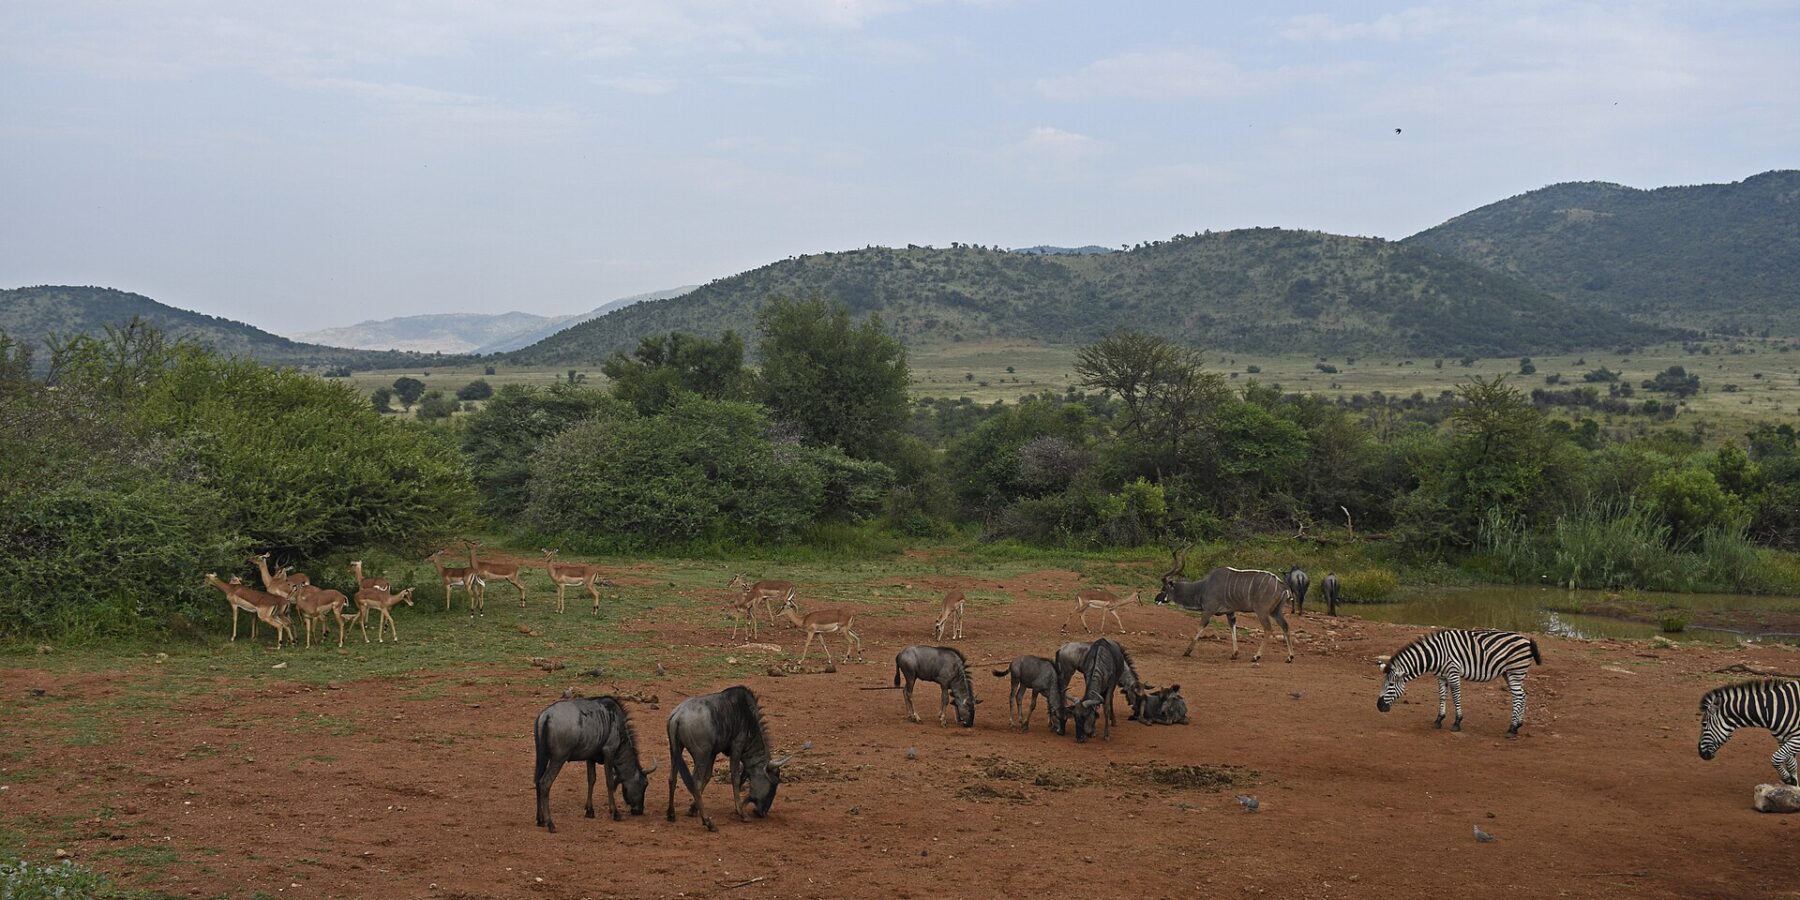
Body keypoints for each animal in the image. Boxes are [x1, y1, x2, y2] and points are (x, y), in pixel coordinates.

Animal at [1376, 629, 1542, 736]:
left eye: (1390, 685)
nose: (1379, 707)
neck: (1436, 655)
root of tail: (1527, 640)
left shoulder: (1453, 672)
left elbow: (1456, 697)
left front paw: (1457, 723)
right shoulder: (1441, 676)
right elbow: (1442, 697)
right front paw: (1438, 720)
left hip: (1515, 671)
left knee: (1519, 696)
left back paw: (1512, 729)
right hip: (1509, 673)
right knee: (1523, 695)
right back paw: (1518, 724)